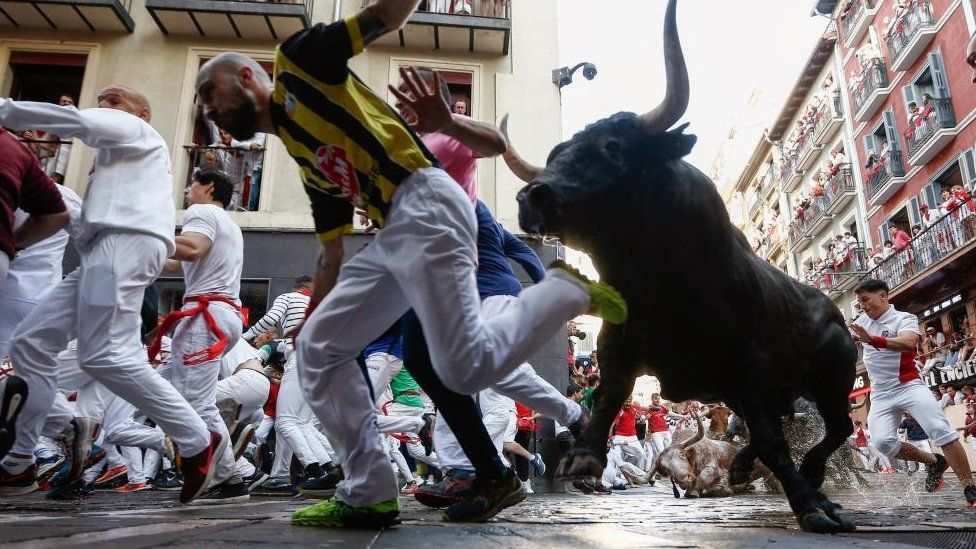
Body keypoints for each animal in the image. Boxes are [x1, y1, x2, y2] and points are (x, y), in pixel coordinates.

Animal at [500, 0, 856, 532]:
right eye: (556, 155)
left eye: (614, 146)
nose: (532, 196)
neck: (659, 284)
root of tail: (833, 312)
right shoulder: (619, 347)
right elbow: (609, 397)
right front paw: (583, 457)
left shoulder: (750, 365)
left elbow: (774, 440)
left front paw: (812, 507)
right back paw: (746, 466)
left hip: (834, 377)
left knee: (837, 428)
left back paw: (809, 477)